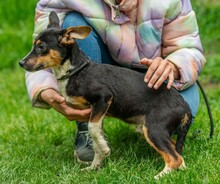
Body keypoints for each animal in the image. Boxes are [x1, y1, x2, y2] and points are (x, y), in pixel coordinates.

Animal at [20, 11, 192, 180]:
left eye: (41, 47)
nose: (21, 63)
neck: (75, 72)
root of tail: (184, 105)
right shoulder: (96, 111)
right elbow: (95, 136)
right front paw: (94, 166)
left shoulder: (103, 98)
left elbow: (92, 128)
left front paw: (103, 151)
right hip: (158, 130)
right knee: (177, 153)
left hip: (154, 128)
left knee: (175, 158)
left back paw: (160, 175)